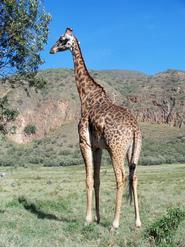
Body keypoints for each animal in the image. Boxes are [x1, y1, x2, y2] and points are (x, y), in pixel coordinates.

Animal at [49, 28, 142, 231]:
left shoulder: (84, 142)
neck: (85, 96)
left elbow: (89, 178)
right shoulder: (98, 147)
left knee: (121, 176)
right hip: (132, 150)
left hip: (116, 149)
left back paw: (115, 224)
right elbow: (97, 179)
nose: (52, 50)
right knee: (134, 176)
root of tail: (134, 129)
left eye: (62, 39)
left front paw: (87, 218)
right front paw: (98, 218)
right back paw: (138, 222)